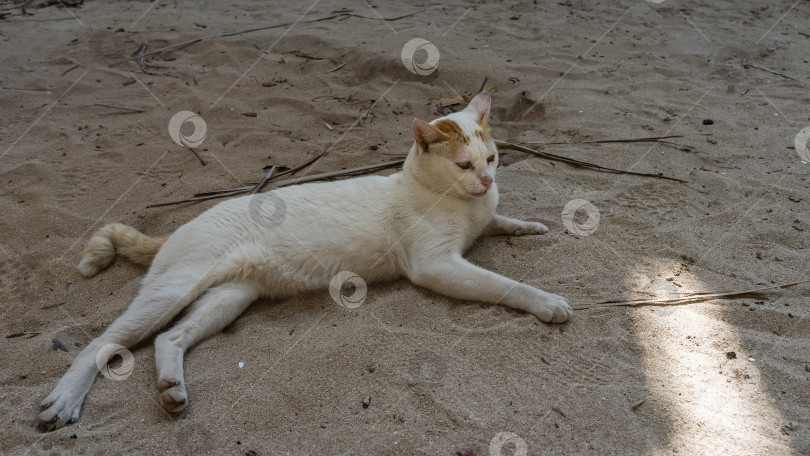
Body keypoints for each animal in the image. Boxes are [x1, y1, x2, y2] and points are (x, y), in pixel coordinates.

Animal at [36, 93, 568, 432]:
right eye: (464, 165)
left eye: (493, 159)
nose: (486, 181)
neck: (459, 202)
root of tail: (188, 222)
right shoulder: (435, 265)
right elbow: (504, 284)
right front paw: (546, 302)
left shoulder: (481, 220)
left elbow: (501, 220)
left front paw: (529, 226)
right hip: (172, 290)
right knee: (100, 343)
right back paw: (65, 400)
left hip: (229, 298)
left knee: (170, 338)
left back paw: (172, 391)